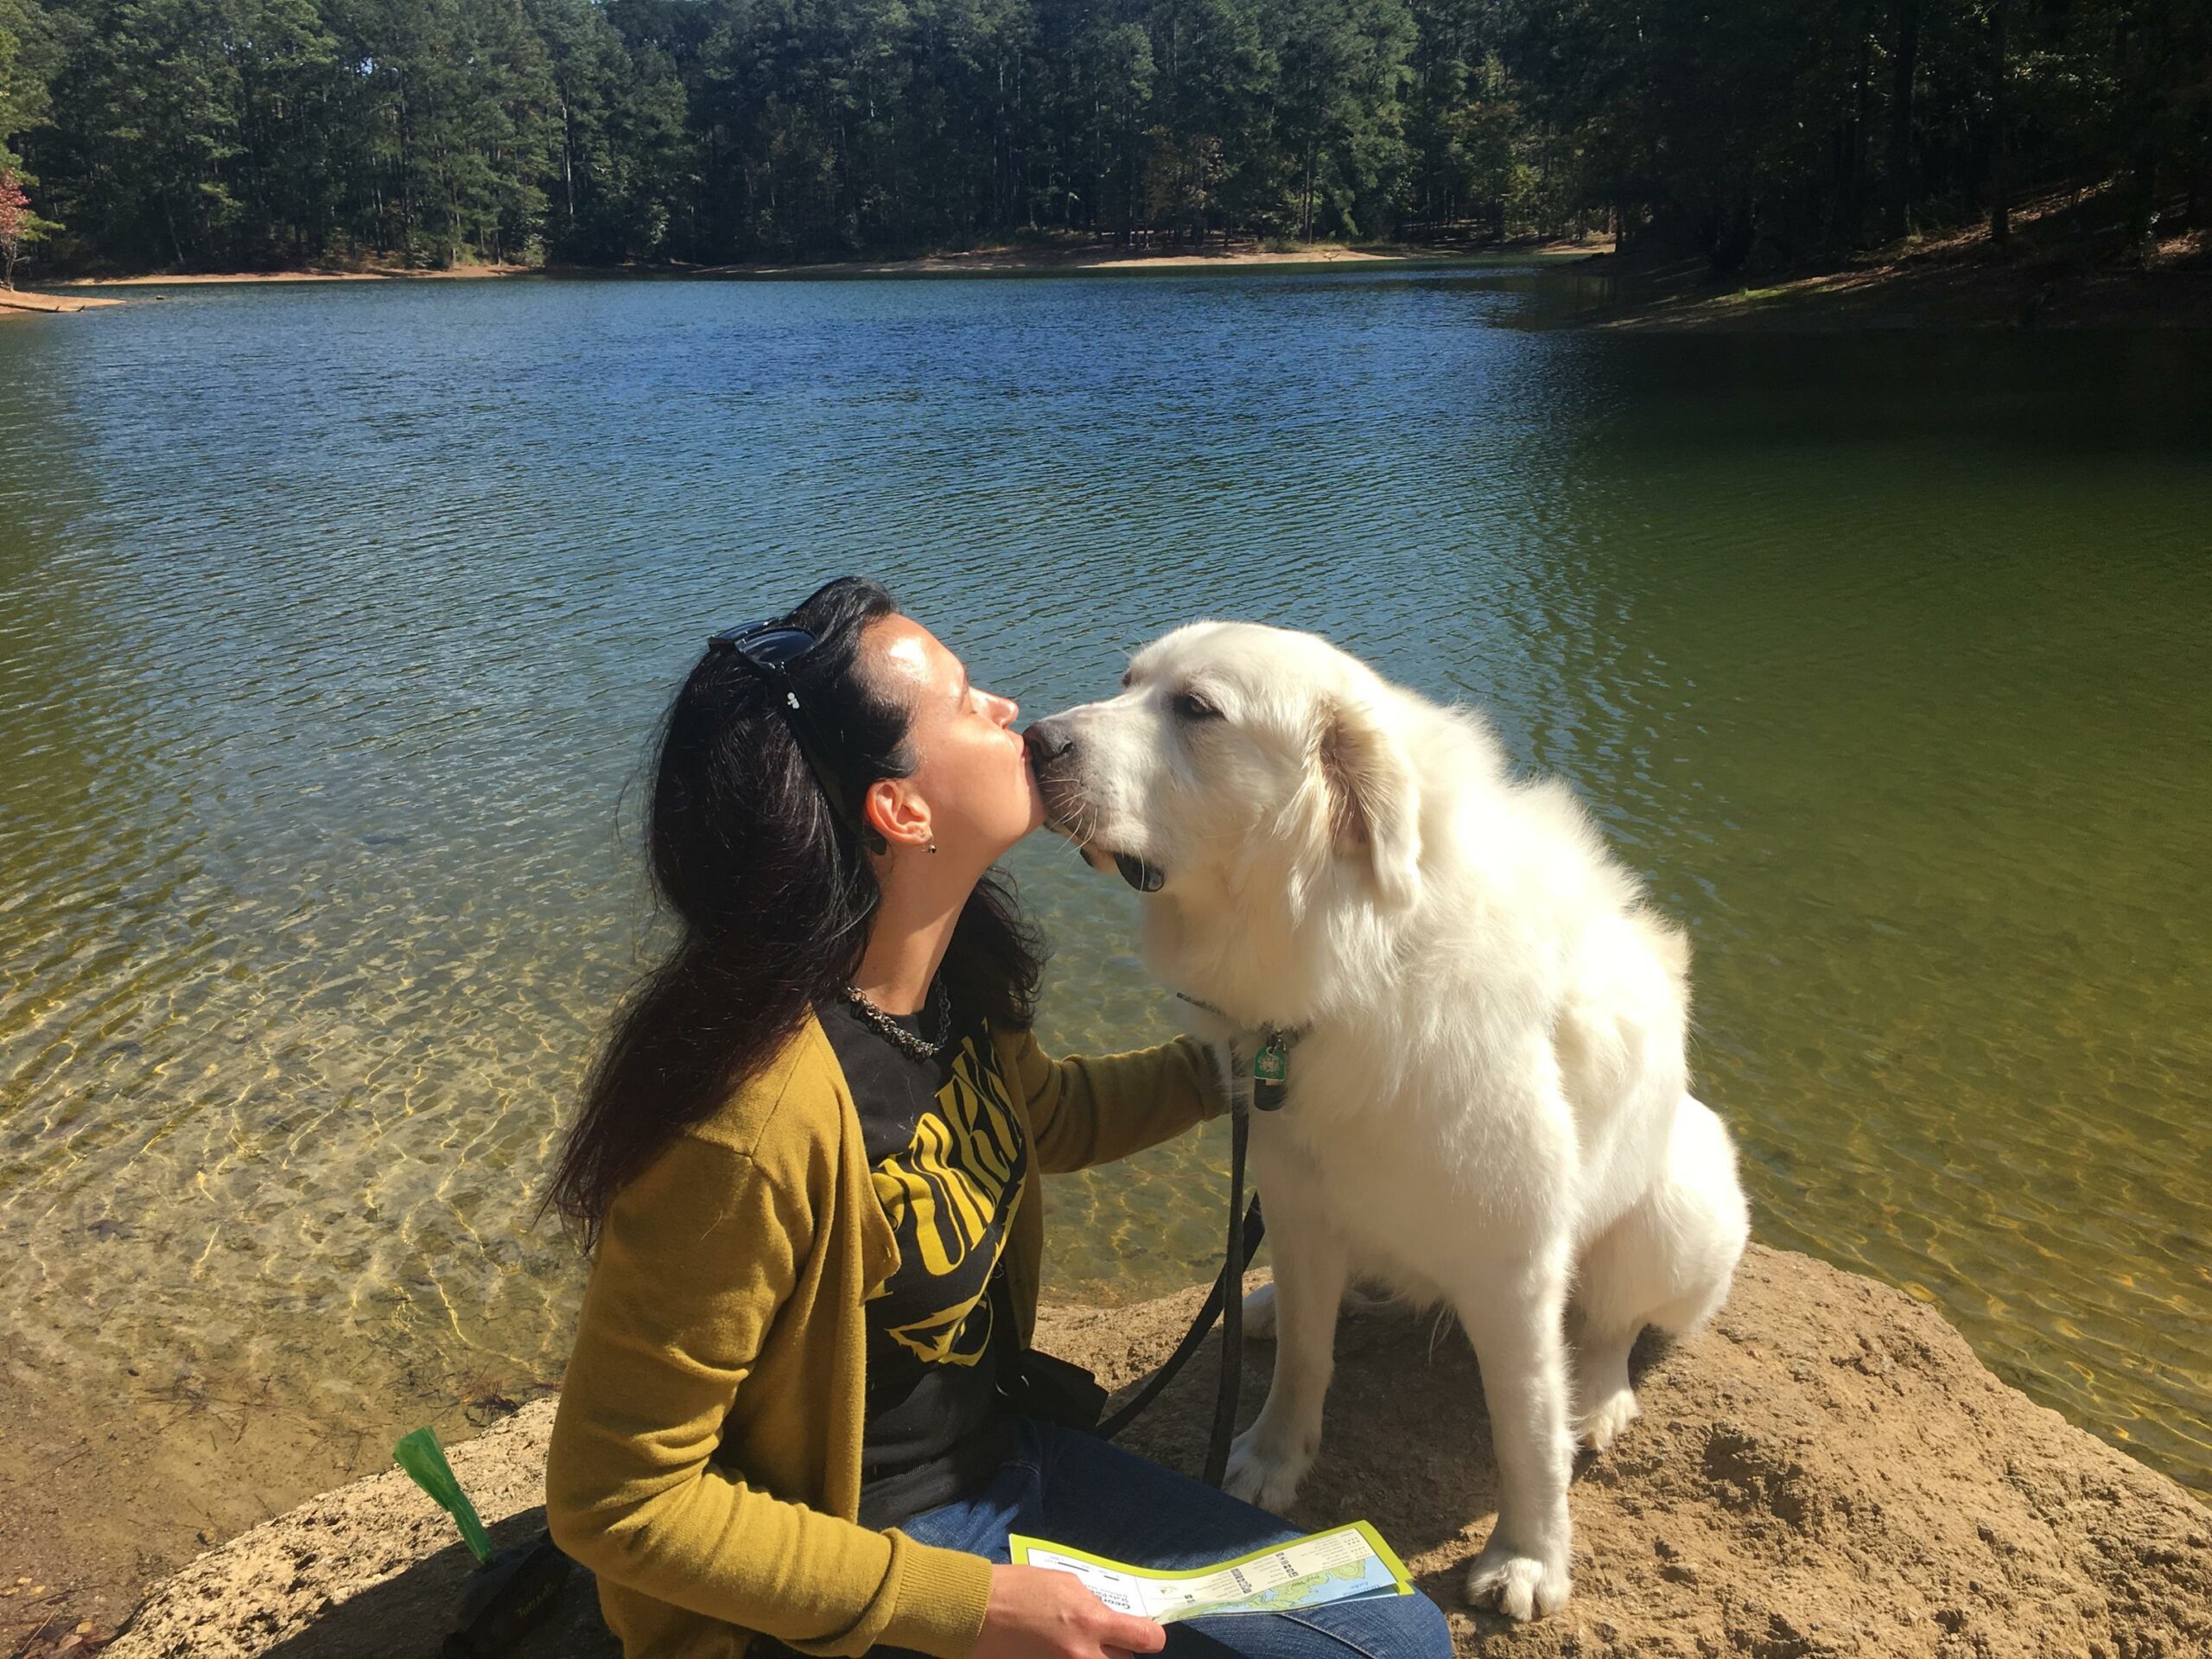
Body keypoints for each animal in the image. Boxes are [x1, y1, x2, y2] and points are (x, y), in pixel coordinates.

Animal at [1026, 623, 1751, 1628]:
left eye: (1196, 710)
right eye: (1127, 681)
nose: (1031, 740)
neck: (1351, 946)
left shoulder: (1513, 1263)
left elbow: (1524, 1427)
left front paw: (1528, 1556)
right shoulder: (1295, 1200)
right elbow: (1305, 1355)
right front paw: (1270, 1459)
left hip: (1679, 1204)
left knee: (1614, 1323)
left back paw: (1598, 1400)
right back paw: (1263, 1305)